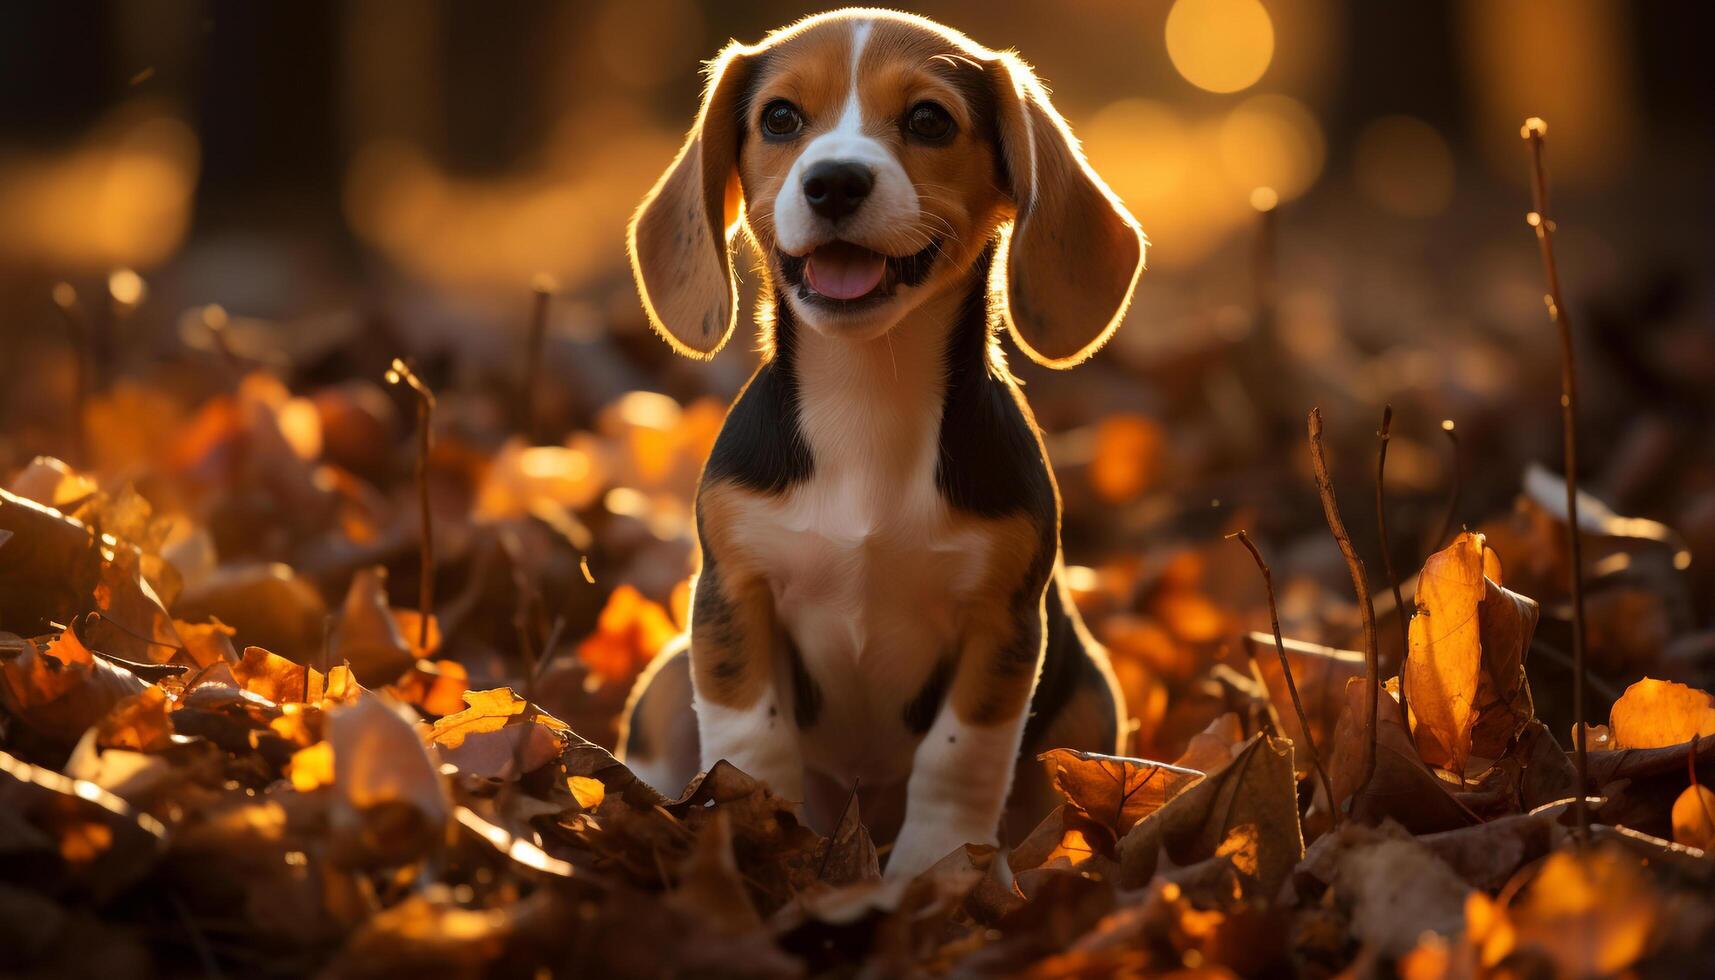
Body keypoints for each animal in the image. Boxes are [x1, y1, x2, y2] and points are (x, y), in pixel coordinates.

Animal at [624, 7, 1145, 878]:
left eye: (929, 120)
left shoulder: (1002, 624)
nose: (834, 181)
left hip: (1086, 704)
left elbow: (958, 756)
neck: (865, 391)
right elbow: (750, 735)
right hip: (667, 672)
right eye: (780, 118)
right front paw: (758, 830)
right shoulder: (732, 595)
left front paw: (936, 866)